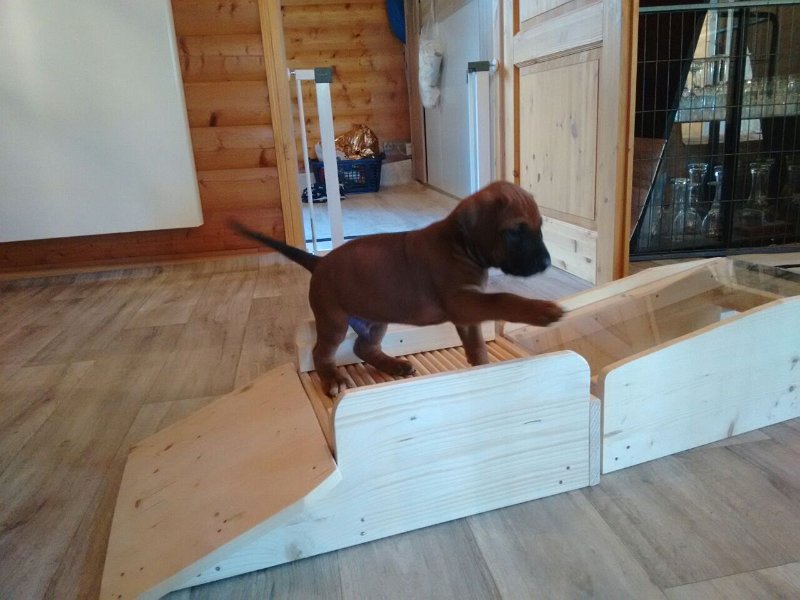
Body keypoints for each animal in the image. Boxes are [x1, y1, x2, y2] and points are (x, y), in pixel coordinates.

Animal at [231, 181, 563, 396]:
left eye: (540, 227)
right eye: (515, 232)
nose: (547, 262)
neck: (458, 243)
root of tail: (319, 261)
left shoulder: (467, 315)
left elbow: (477, 346)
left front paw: (482, 368)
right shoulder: (463, 301)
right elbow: (504, 298)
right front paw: (541, 310)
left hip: (377, 318)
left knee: (363, 347)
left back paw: (394, 366)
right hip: (333, 320)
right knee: (321, 353)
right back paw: (333, 380)